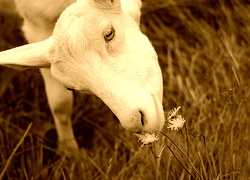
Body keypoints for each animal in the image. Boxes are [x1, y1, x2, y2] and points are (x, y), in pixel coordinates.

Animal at [0, 0, 165, 152]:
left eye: (109, 34)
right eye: (70, 88)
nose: (136, 122)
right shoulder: (35, 24)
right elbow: (60, 105)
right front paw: (69, 151)